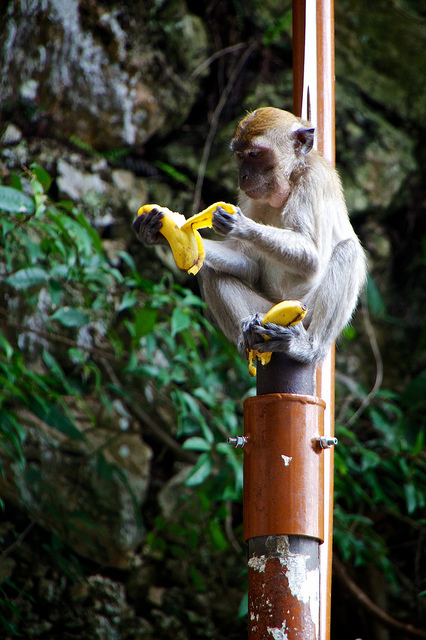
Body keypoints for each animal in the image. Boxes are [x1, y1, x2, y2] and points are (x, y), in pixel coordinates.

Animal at [134, 107, 367, 365]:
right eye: (239, 155)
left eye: (254, 154)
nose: (243, 176)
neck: (289, 179)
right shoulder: (250, 196)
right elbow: (249, 264)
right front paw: (154, 233)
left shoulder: (313, 180)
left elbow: (313, 257)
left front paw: (241, 225)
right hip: (266, 311)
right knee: (212, 272)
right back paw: (245, 336)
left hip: (303, 312)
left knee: (347, 251)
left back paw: (308, 348)